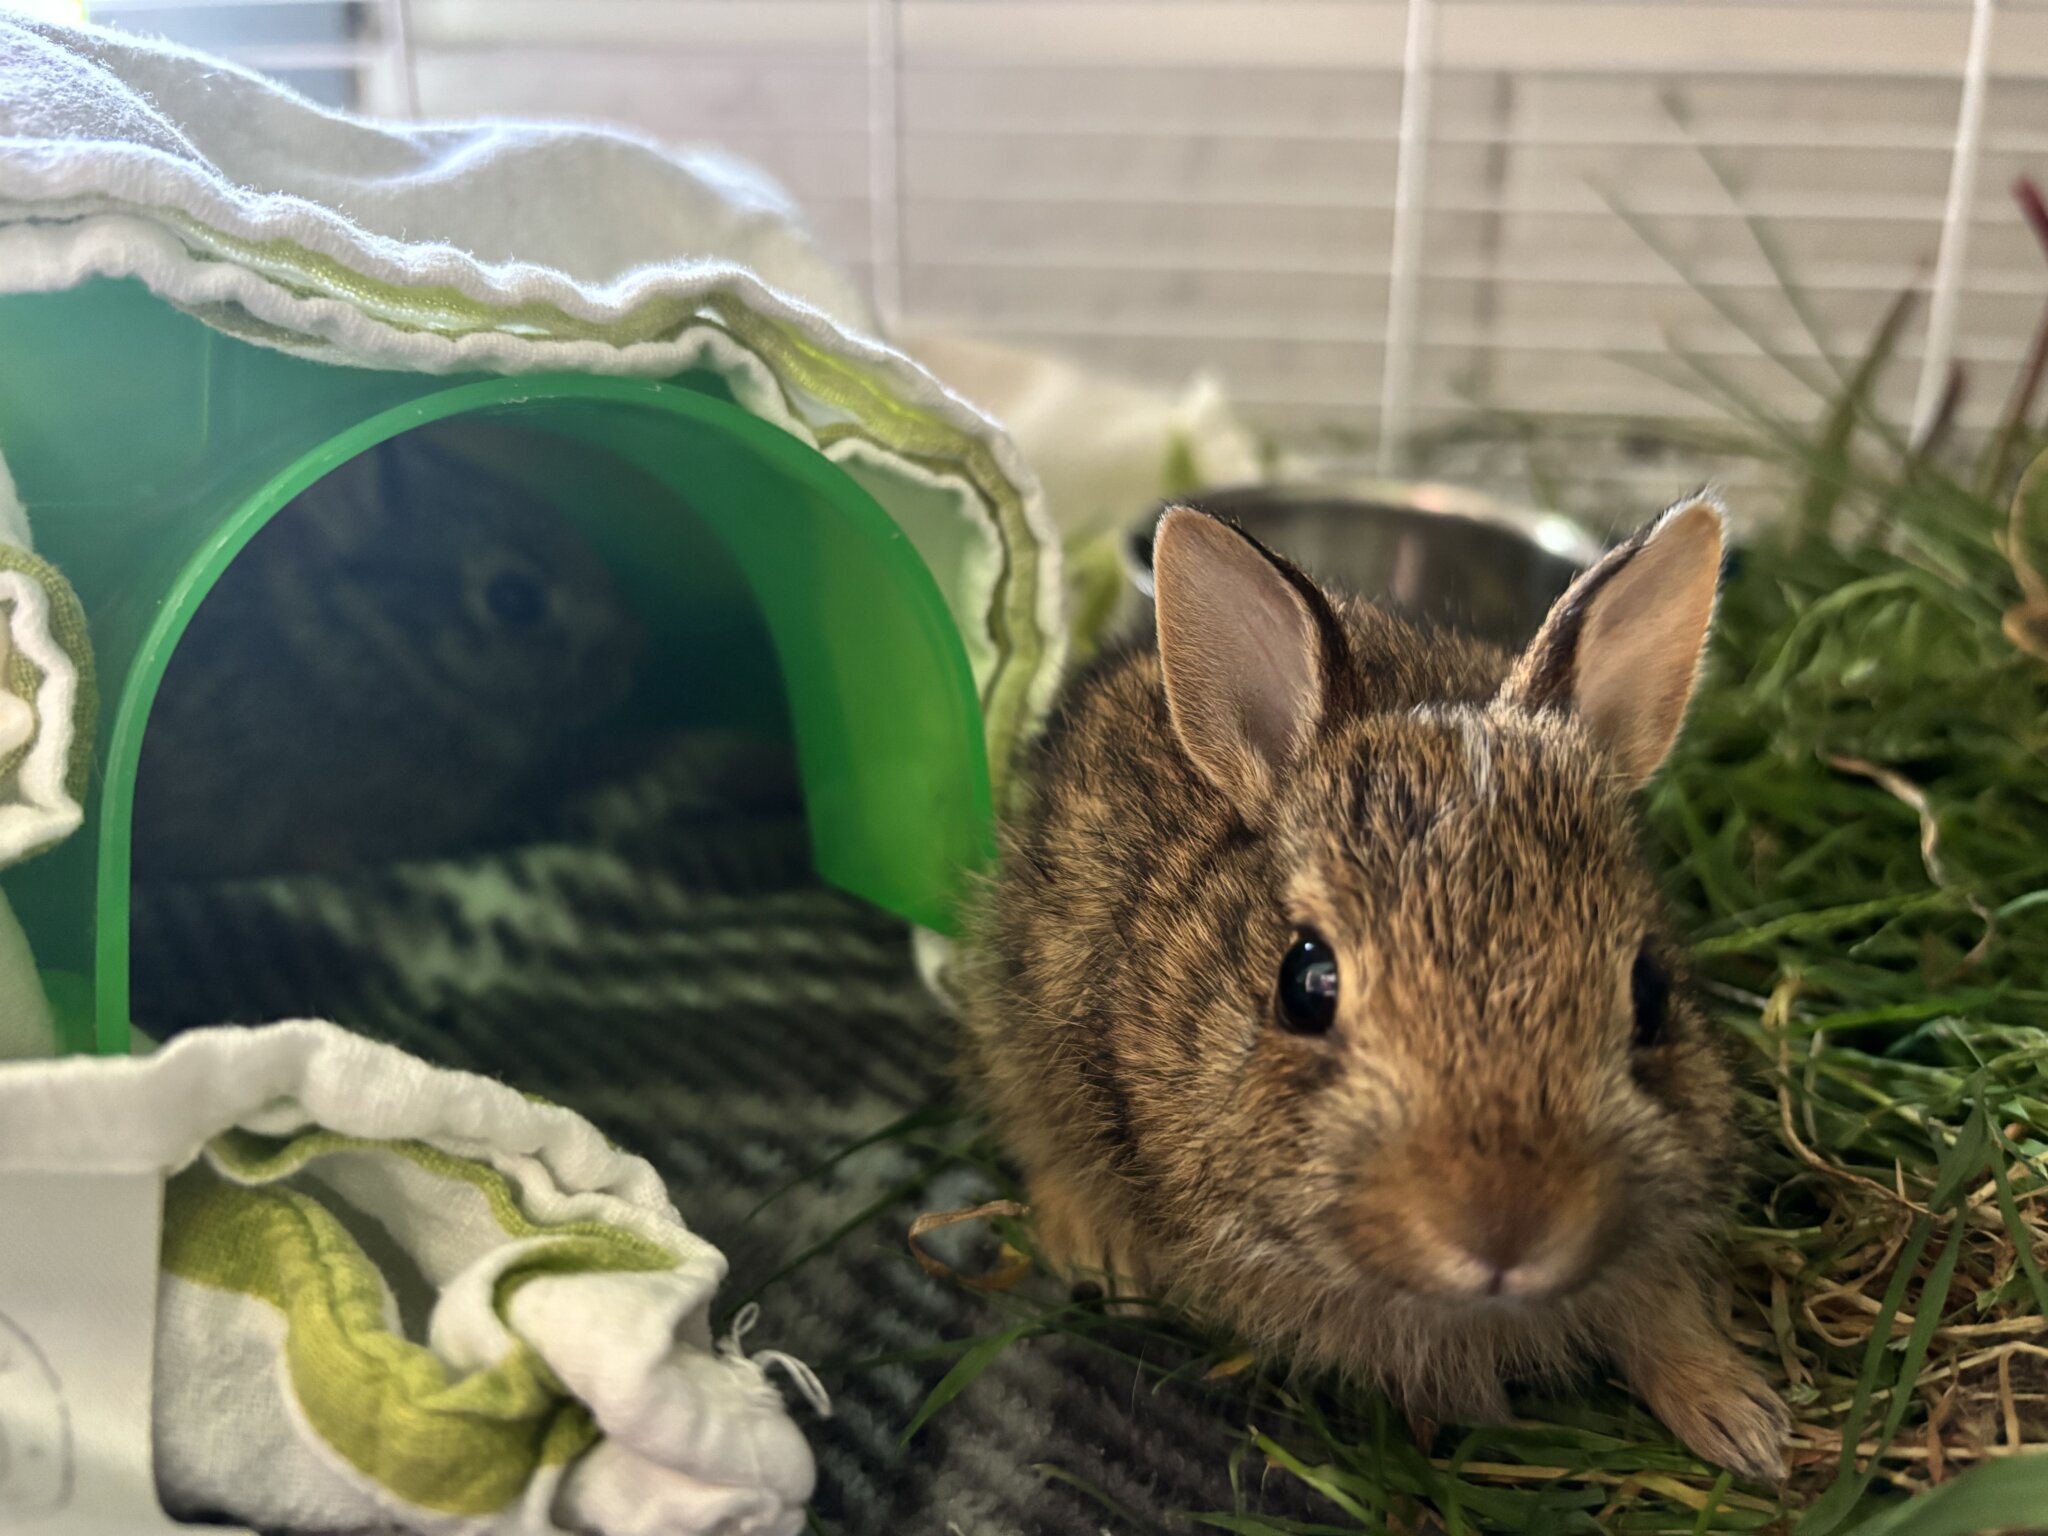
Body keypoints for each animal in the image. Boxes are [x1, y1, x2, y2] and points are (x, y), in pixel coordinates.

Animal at [966, 499, 1785, 1482]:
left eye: (1651, 993)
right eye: (1305, 984)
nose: (1506, 1228)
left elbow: (1663, 1316)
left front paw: (1747, 1424)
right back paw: (1101, 1252)